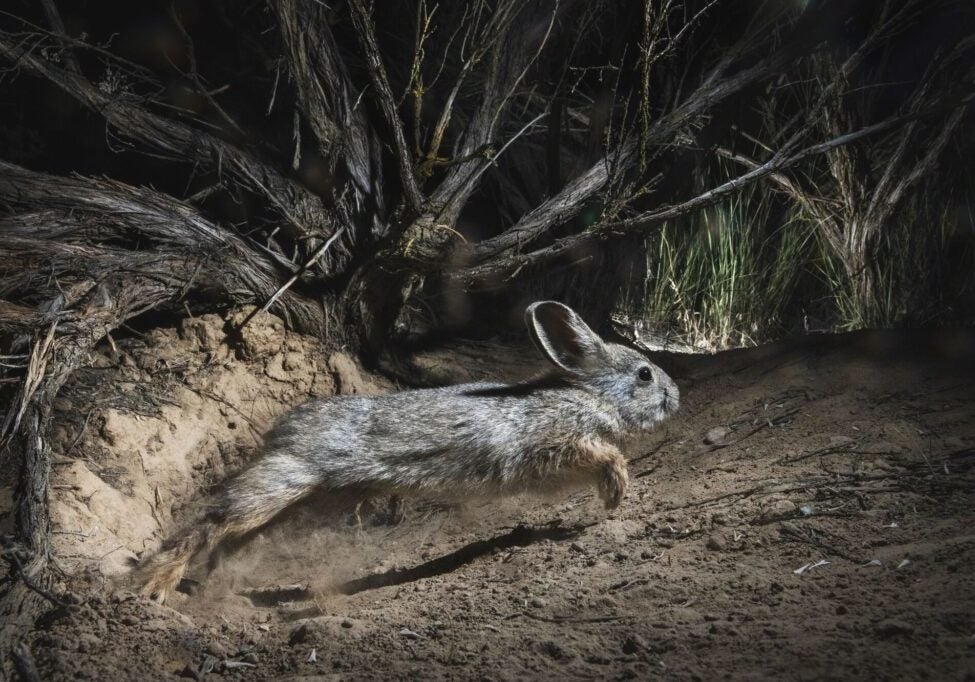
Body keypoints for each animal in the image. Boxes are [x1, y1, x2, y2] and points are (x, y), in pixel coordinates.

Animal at [136, 301, 679, 602]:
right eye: (644, 374)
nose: (674, 397)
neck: (587, 394)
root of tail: (283, 427)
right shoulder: (554, 446)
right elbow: (605, 456)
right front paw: (615, 495)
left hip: (303, 499)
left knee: (230, 537)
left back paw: (212, 582)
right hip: (284, 479)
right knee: (211, 522)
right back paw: (156, 588)